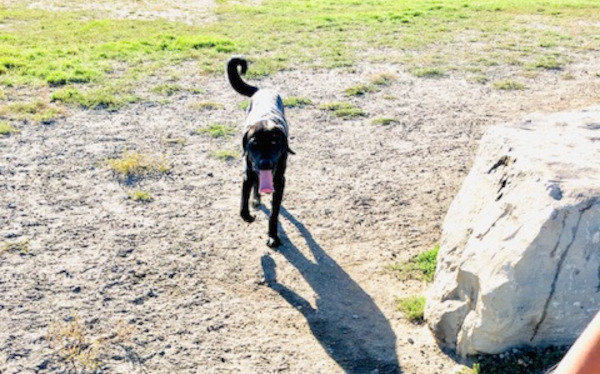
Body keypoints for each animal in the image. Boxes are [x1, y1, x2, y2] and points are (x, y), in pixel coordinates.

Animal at [226, 57, 294, 247]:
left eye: (275, 143)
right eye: (254, 144)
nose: (265, 163)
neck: (265, 120)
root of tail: (262, 90)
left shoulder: (279, 181)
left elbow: (274, 213)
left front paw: (273, 236)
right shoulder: (247, 174)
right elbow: (242, 206)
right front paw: (248, 216)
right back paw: (256, 199)